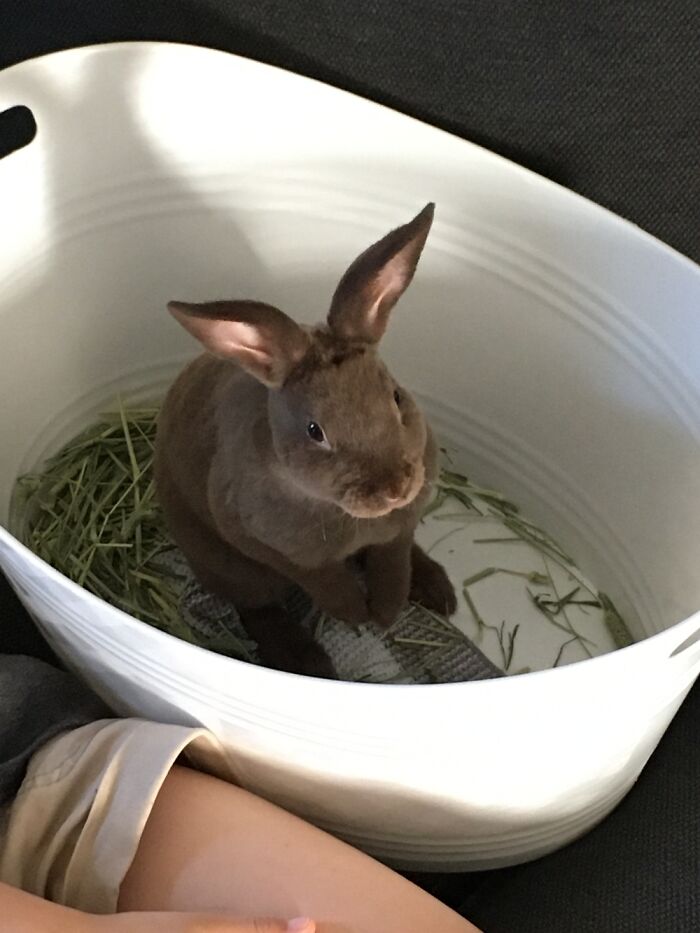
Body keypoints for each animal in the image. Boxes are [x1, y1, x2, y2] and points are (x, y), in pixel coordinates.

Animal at [155, 202, 457, 678]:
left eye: (395, 396)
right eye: (316, 432)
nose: (393, 489)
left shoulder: (398, 532)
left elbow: (393, 564)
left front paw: (388, 610)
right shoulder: (277, 550)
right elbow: (328, 583)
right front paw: (358, 614)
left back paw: (439, 591)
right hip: (228, 567)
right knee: (257, 610)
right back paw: (309, 661)